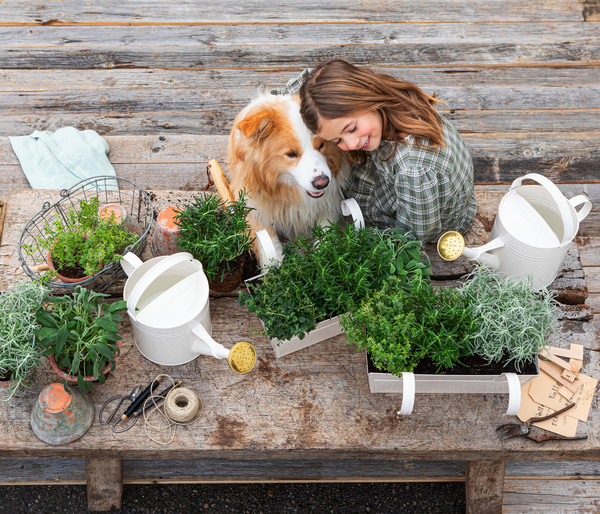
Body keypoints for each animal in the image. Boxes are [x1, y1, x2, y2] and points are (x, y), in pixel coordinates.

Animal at [229, 91, 352, 264]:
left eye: (321, 145)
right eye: (291, 154)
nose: (322, 183)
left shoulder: (331, 200)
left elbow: (325, 230)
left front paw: (322, 258)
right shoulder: (250, 205)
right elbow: (267, 239)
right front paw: (276, 266)